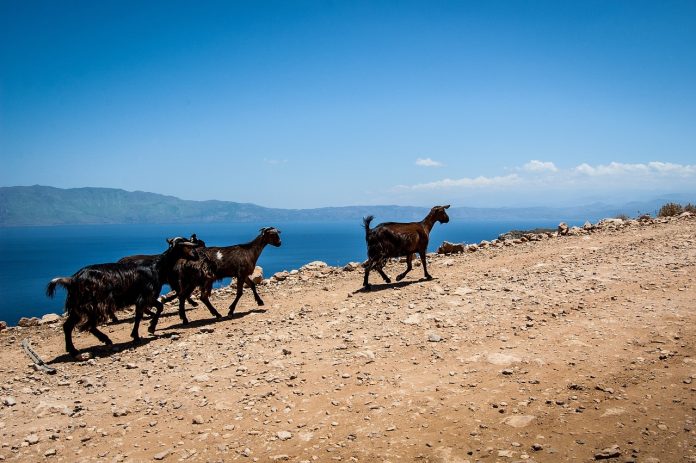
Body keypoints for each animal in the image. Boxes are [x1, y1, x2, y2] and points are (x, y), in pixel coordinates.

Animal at [46, 237, 198, 358]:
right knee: (88, 325)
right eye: (187, 246)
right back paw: (99, 341)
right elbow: (141, 315)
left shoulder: (146, 297)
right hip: (93, 304)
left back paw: (75, 349)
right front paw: (138, 334)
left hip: (78, 306)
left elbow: (158, 307)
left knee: (69, 326)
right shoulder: (145, 296)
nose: (196, 256)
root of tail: (72, 280)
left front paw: (150, 328)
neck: (157, 267)